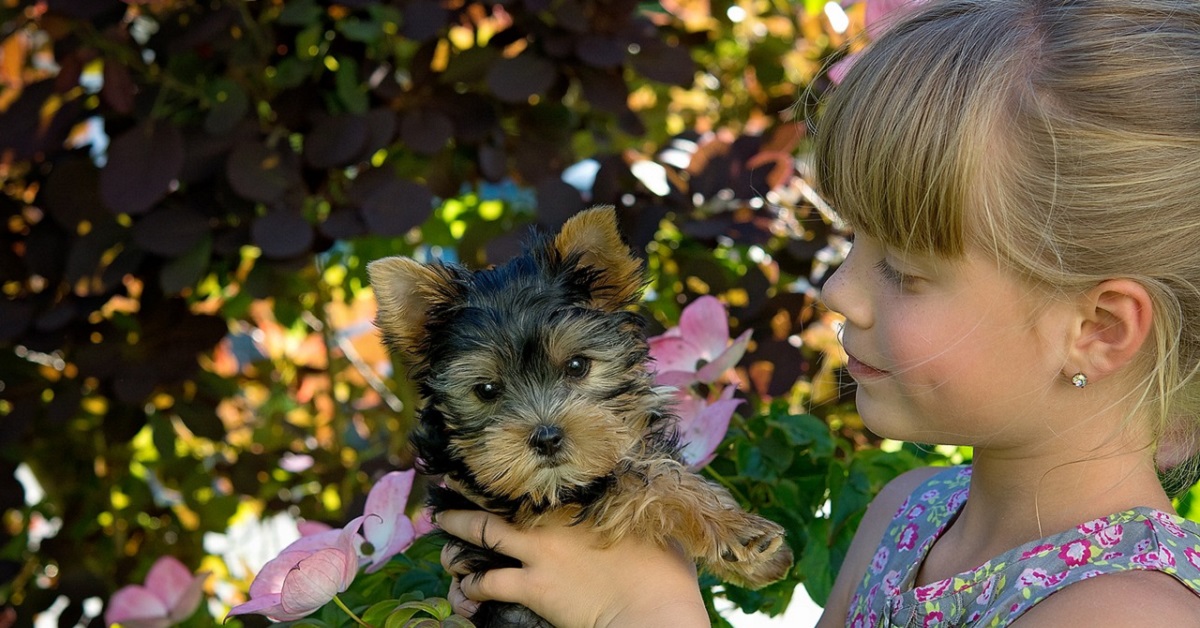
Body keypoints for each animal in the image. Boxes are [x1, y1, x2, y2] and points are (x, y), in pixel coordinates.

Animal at [364, 208, 796, 624]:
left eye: (576, 365)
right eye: (486, 390)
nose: (547, 437)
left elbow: (655, 468)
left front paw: (754, 557)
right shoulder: (523, 497)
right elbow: (643, 482)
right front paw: (739, 532)